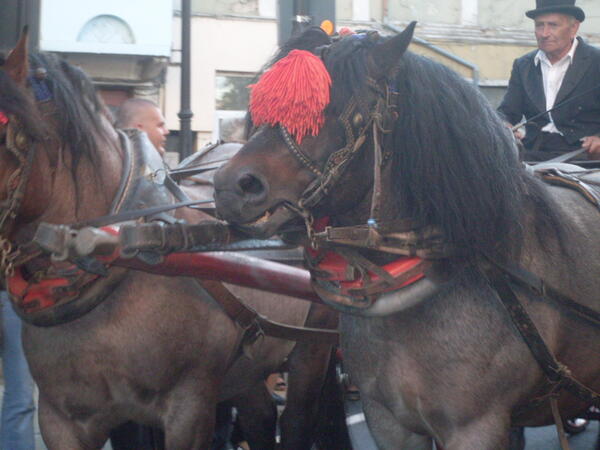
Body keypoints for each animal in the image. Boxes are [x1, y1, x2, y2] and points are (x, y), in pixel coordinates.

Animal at [0, 37, 338, 448]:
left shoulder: (189, 405)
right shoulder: (61, 419)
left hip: (313, 344)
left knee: (297, 420)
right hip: (248, 364)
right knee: (259, 417)